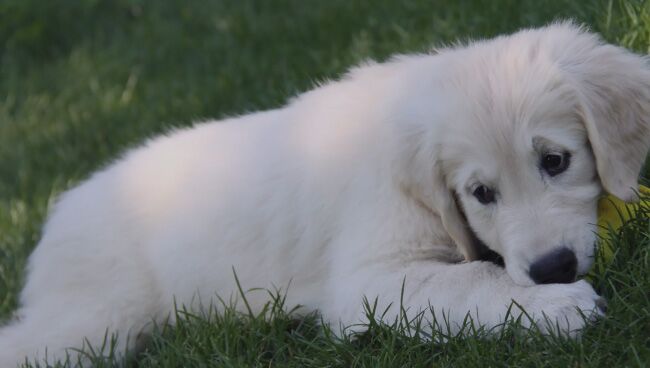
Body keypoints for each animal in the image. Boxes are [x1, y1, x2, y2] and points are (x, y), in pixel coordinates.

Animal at [1, 22, 648, 366]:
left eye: (555, 161)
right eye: (481, 192)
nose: (552, 268)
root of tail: (56, 216)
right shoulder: (370, 280)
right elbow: (473, 279)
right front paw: (558, 307)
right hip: (94, 323)